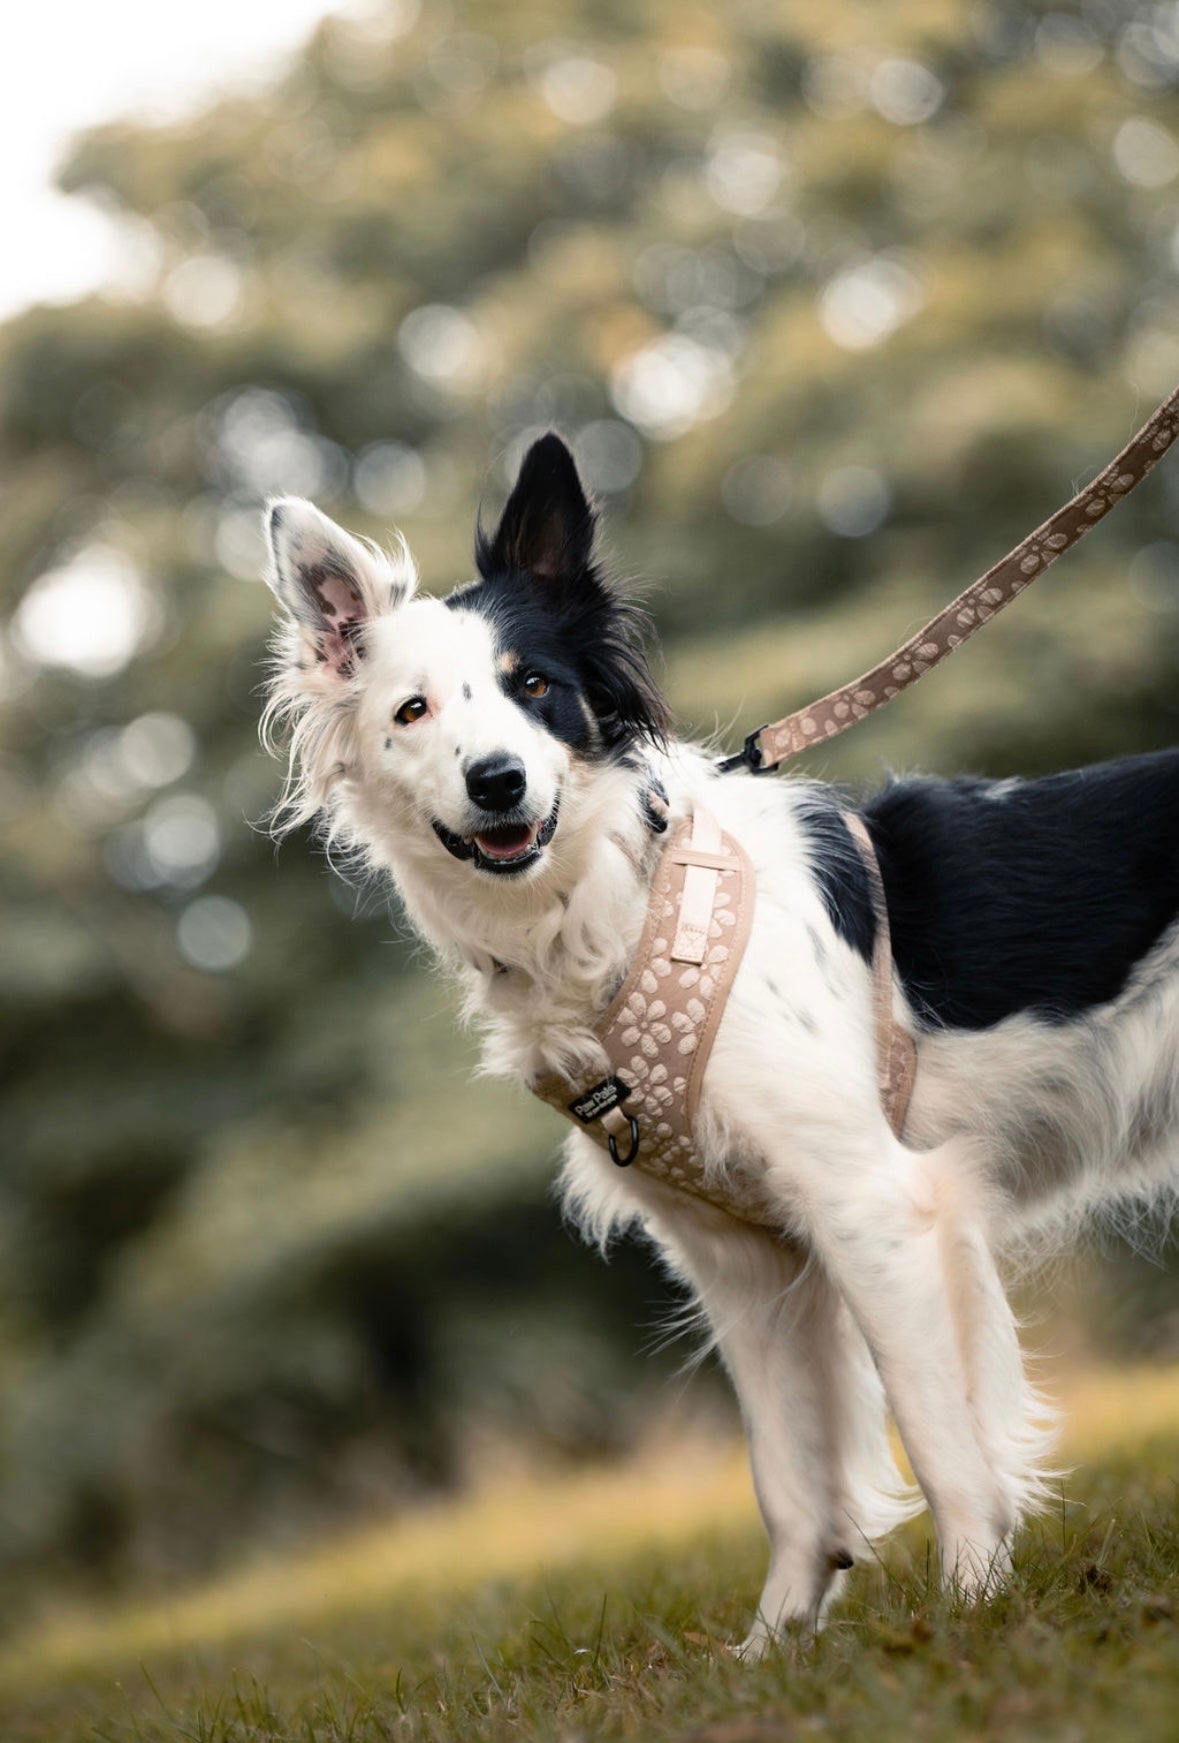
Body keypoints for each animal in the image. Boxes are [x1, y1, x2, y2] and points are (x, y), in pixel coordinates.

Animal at [263, 428, 1179, 1652]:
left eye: (533, 687)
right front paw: (776, 1648)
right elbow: (790, 1479)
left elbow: (940, 1437)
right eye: (412, 713)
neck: (635, 904)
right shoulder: (744, 1262)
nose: (497, 781)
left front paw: (971, 1603)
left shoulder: (872, 1204)